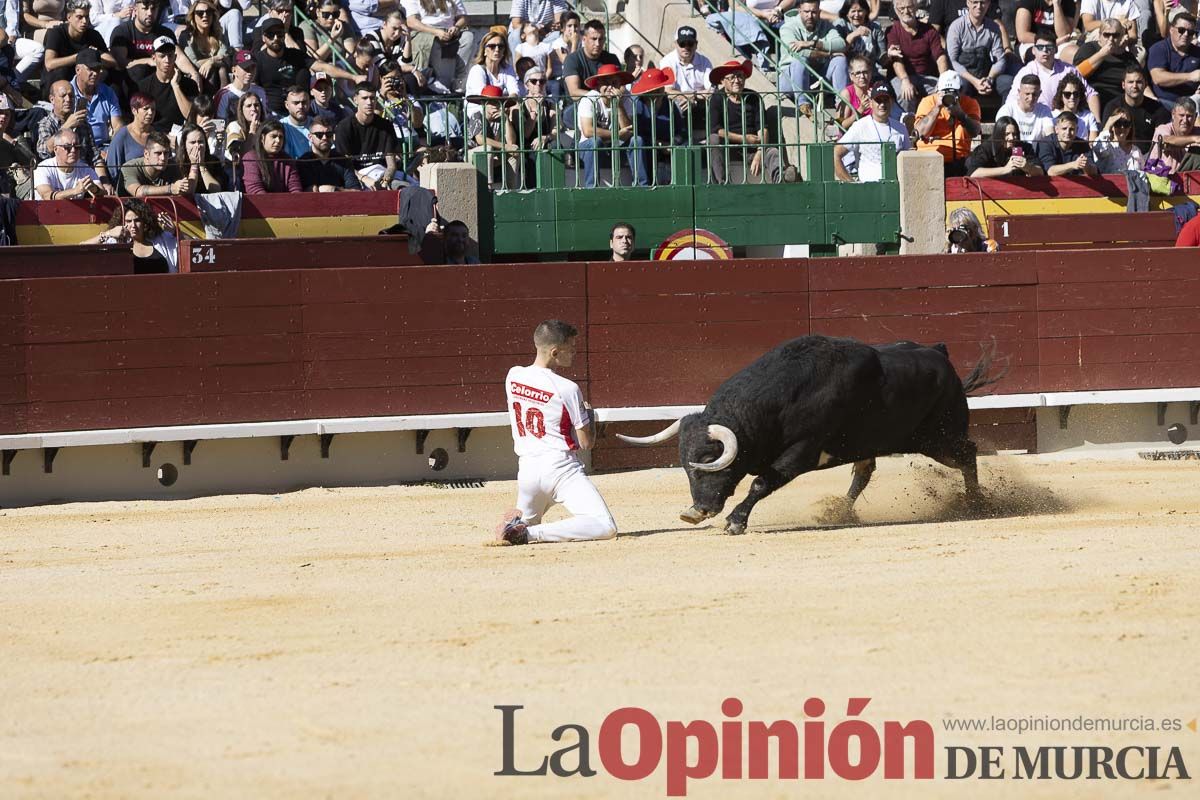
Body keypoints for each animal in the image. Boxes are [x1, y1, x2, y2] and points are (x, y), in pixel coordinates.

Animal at [619, 335, 1003, 534]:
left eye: (710, 460)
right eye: (686, 468)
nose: (694, 512)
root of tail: (939, 354)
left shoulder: (801, 452)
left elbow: (761, 482)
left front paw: (736, 521)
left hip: (937, 437)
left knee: (968, 454)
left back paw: (975, 503)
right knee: (863, 474)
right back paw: (839, 512)